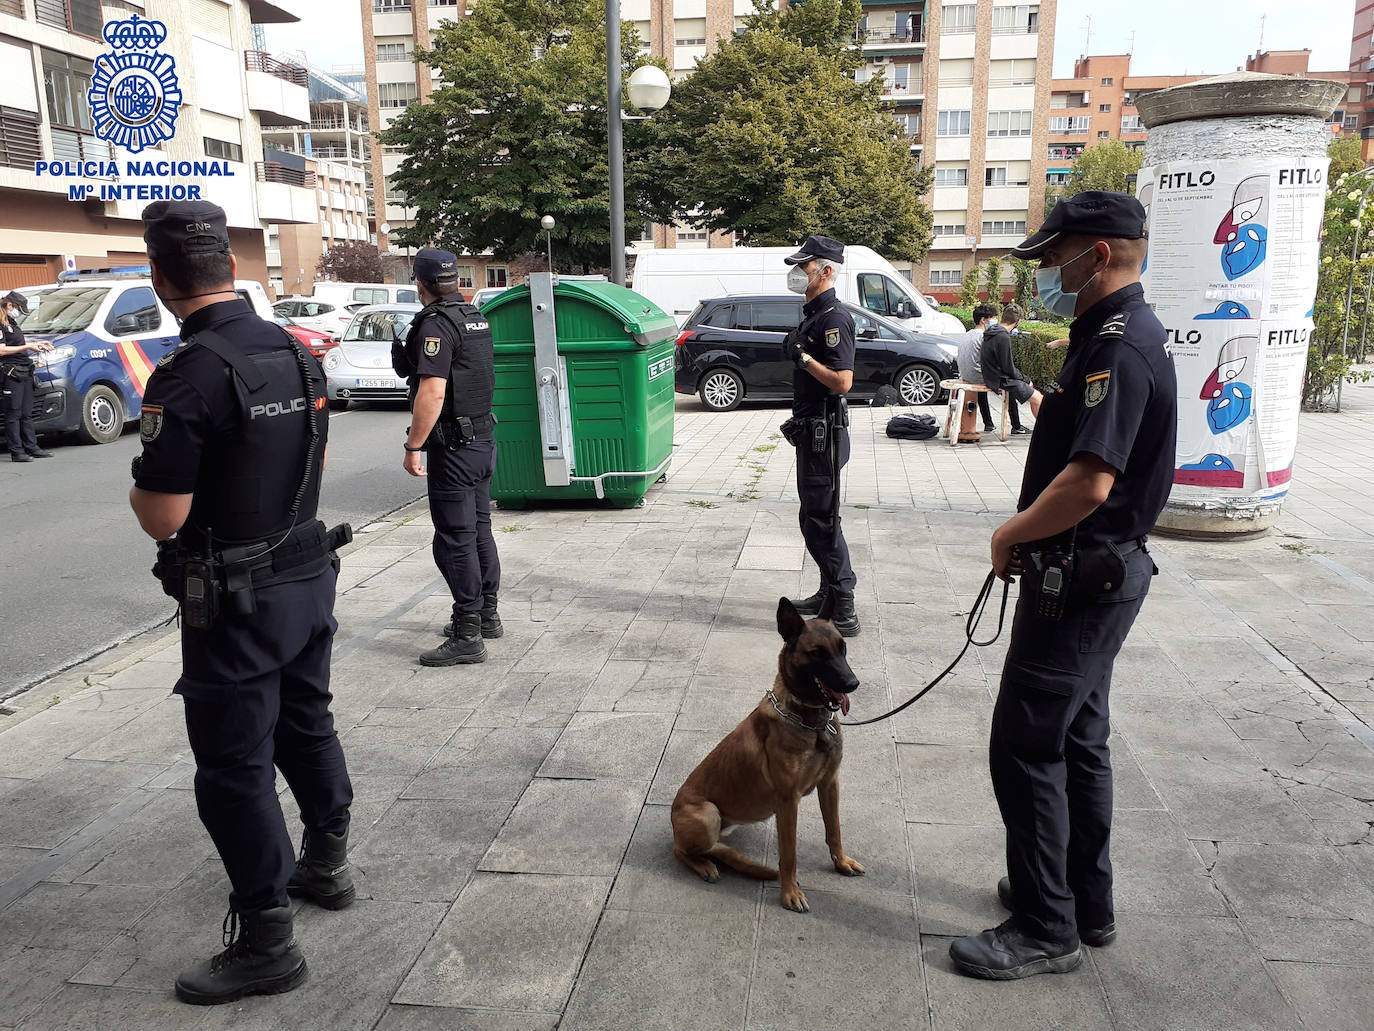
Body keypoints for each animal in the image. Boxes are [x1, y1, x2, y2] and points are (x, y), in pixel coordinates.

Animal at [670, 593, 862, 918]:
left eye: (842, 648)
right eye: (817, 653)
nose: (852, 684)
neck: (811, 722)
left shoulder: (830, 783)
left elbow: (834, 829)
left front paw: (841, 861)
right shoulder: (788, 801)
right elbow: (789, 854)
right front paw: (790, 893)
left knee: (711, 847)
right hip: (707, 813)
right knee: (681, 850)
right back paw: (706, 865)